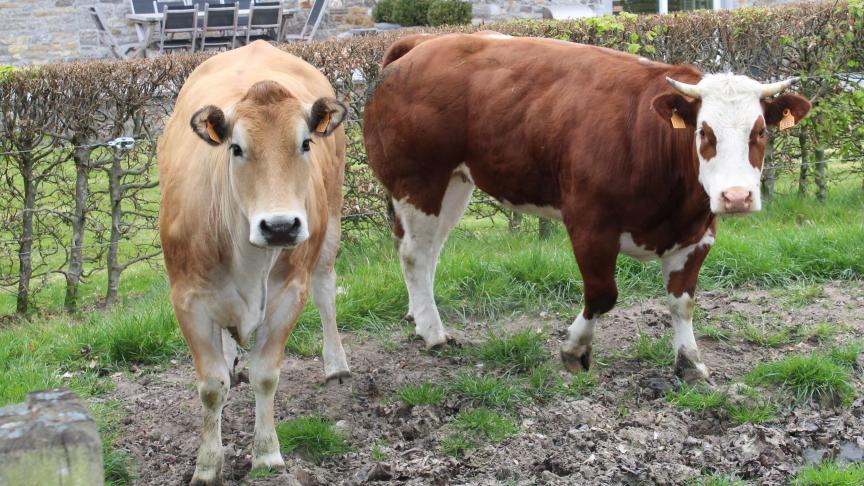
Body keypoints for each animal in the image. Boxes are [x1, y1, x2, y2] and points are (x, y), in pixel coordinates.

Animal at [158, 41, 350, 485]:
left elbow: (266, 374)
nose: (279, 226)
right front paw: (207, 464)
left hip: (331, 220)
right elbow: (211, 386)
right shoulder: (187, 300)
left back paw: (336, 364)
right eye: (236, 147)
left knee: (326, 290)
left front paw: (266, 454)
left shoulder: (289, 293)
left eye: (305, 143)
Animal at [363, 32, 811, 383]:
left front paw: (690, 363)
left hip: (455, 184)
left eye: (759, 132)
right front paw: (575, 351)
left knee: (426, 249)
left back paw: (418, 315)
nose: (736, 197)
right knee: (415, 254)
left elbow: (681, 302)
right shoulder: (589, 227)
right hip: (419, 181)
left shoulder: (697, 235)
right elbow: (602, 295)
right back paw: (433, 332)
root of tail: (422, 43)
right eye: (704, 131)